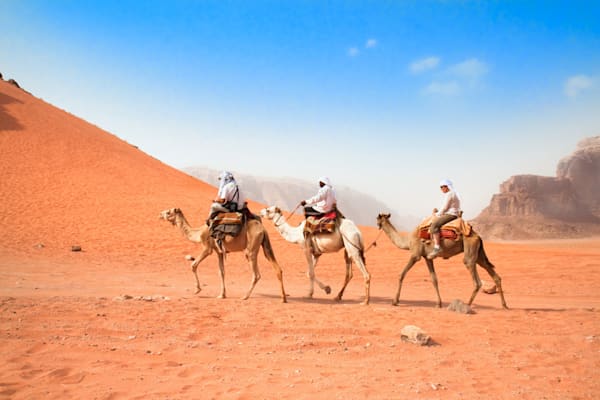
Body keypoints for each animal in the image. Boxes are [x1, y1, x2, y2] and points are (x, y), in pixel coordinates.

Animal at [376, 212, 506, 310]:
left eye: (378, 218)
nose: (377, 224)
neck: (407, 240)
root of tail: (478, 236)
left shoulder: (415, 255)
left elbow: (401, 275)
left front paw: (395, 301)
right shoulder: (427, 258)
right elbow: (434, 279)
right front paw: (438, 304)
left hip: (470, 250)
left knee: (476, 280)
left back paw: (467, 305)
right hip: (479, 255)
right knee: (495, 275)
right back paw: (504, 305)